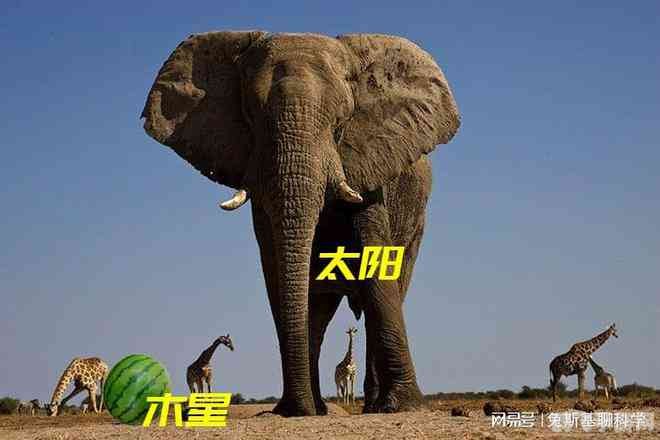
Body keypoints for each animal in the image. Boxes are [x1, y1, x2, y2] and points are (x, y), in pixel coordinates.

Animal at [141, 30, 460, 416]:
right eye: (250, 116)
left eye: (341, 120)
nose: (299, 408)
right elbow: (277, 270)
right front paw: (294, 410)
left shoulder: (372, 164)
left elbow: (375, 264)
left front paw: (404, 407)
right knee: (320, 310)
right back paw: (322, 404)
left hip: (416, 225)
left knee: (391, 289)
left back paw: (372, 405)